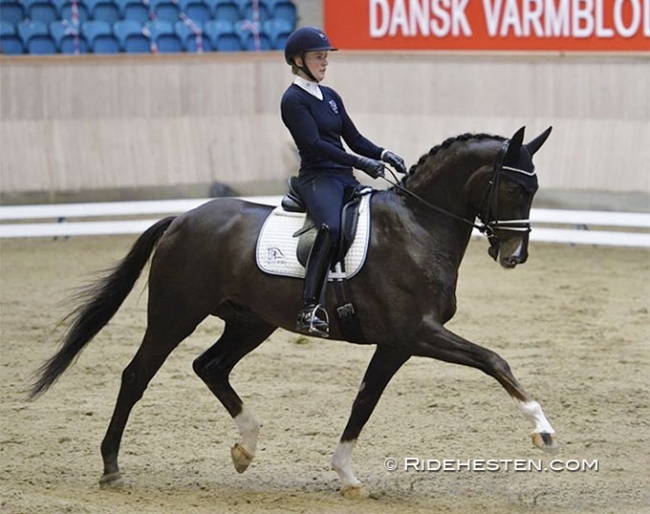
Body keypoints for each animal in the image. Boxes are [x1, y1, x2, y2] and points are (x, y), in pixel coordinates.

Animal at [29, 124, 556, 496]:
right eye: (514, 188)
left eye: (533, 189)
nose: (515, 256)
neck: (417, 227)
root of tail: (182, 218)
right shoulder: (417, 333)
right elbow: (494, 360)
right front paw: (542, 429)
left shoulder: (396, 344)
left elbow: (364, 400)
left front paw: (346, 475)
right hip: (174, 315)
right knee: (137, 375)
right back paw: (112, 468)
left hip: (250, 322)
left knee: (210, 366)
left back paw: (246, 446)